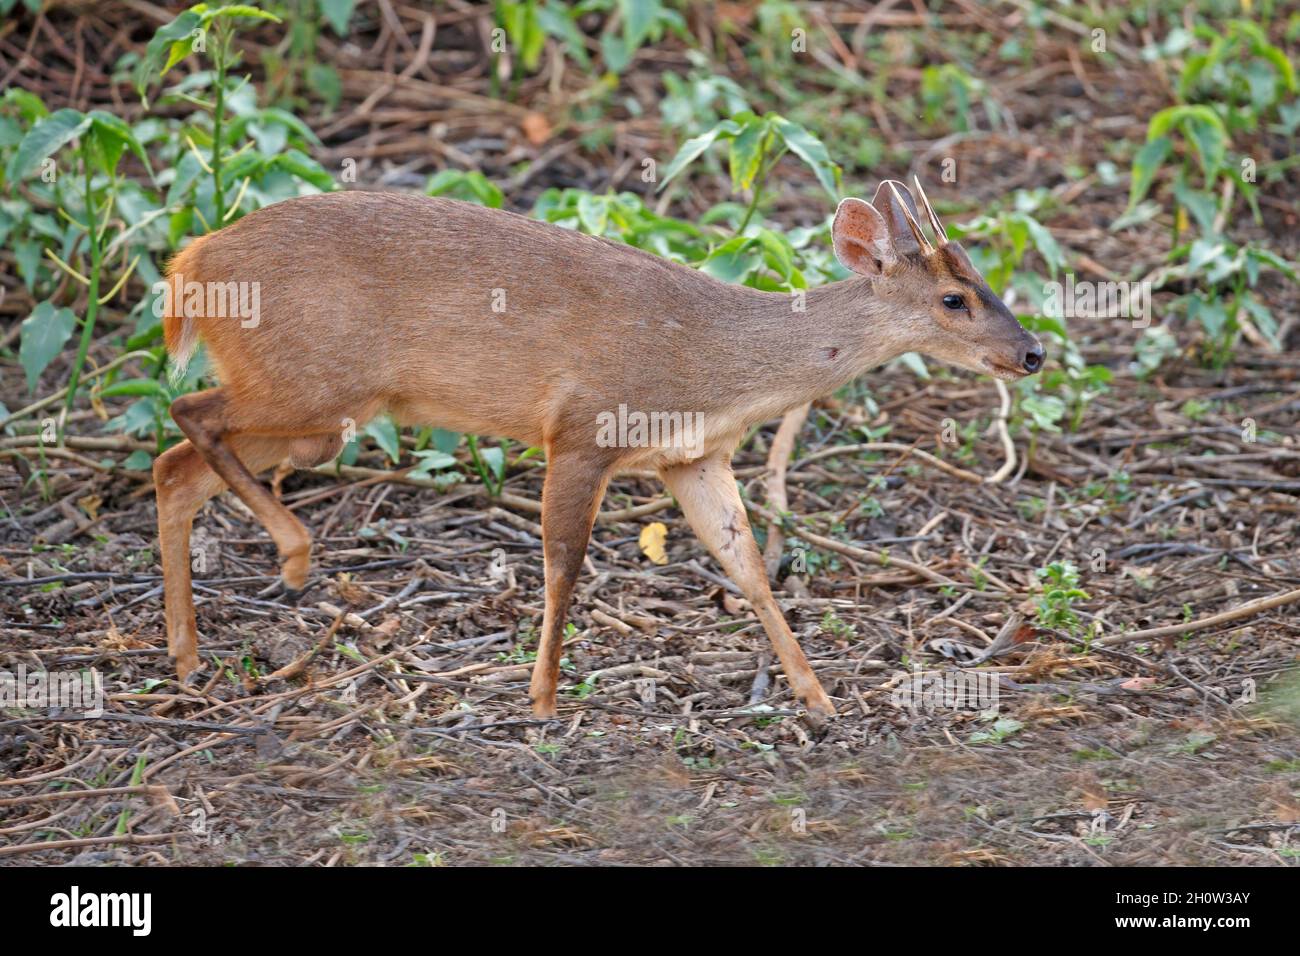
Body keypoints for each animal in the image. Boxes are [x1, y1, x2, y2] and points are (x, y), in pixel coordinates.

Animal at [152, 177, 1043, 719]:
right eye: (955, 298)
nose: (1032, 352)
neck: (716, 366)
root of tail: (190, 262)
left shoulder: (694, 457)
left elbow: (749, 566)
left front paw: (816, 696)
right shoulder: (581, 428)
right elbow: (564, 561)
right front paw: (543, 700)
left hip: (314, 413)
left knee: (177, 467)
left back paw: (189, 658)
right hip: (308, 384)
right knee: (186, 412)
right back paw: (294, 555)